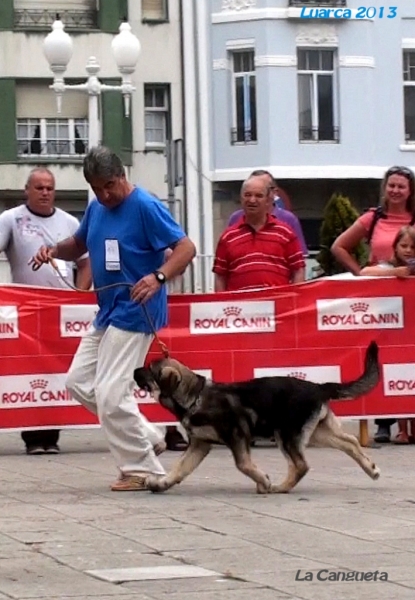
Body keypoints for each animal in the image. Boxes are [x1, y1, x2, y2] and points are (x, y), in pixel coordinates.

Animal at [135, 340, 382, 494]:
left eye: (149, 369)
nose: (135, 370)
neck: (195, 397)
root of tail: (319, 387)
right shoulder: (199, 444)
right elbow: (180, 468)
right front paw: (161, 483)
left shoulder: (237, 436)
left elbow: (243, 464)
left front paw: (263, 481)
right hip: (315, 432)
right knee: (349, 442)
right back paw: (371, 469)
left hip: (287, 434)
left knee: (301, 465)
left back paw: (280, 487)